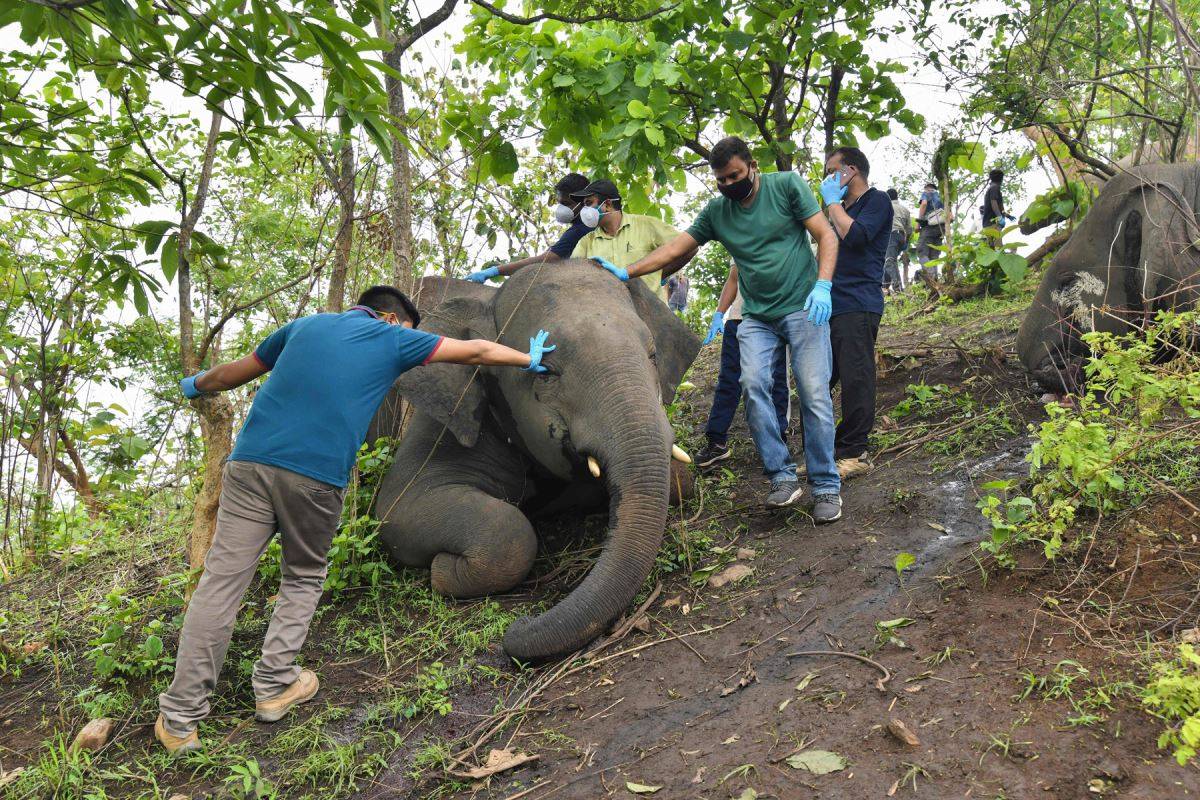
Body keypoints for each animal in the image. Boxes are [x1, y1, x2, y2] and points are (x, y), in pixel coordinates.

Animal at [367, 260, 701, 662]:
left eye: (652, 356)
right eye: (547, 372)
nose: (518, 627)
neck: (489, 299)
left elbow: (681, 480)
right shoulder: (444, 412)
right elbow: (399, 509)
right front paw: (442, 570)